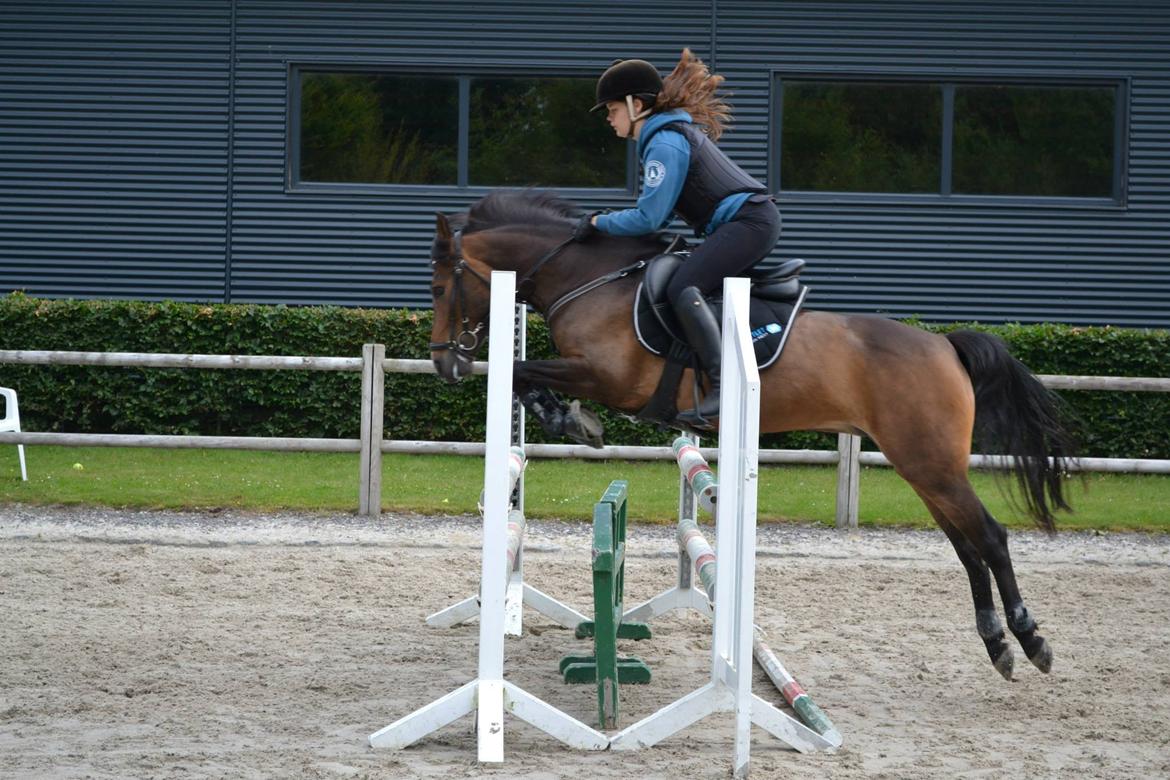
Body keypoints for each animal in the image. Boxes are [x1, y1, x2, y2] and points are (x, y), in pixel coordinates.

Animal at [427, 189, 1075, 681]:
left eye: (438, 288)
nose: (444, 364)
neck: (589, 276)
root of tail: (943, 344)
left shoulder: (608, 376)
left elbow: (523, 372)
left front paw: (571, 420)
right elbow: (522, 377)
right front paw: (569, 419)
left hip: (931, 465)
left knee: (989, 538)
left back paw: (1029, 640)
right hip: (924, 468)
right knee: (966, 547)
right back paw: (996, 643)